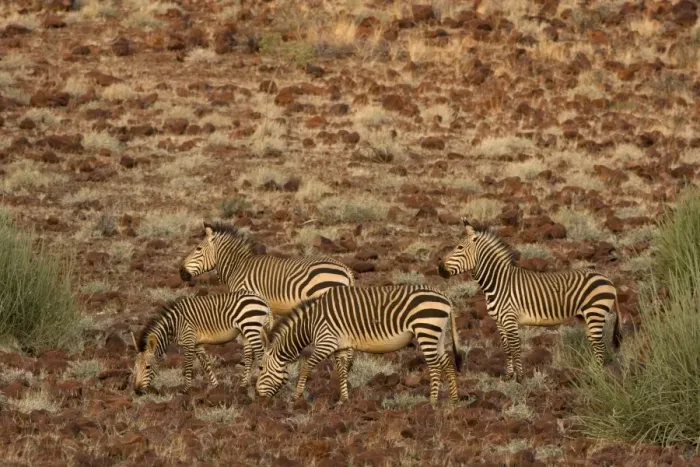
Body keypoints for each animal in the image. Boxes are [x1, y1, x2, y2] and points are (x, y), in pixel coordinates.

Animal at [131, 290, 272, 395]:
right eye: (135, 367)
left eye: (148, 367)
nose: (137, 391)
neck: (174, 324)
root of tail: (262, 300)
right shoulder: (196, 343)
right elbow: (205, 363)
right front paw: (215, 386)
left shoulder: (188, 340)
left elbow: (188, 364)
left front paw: (186, 389)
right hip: (246, 332)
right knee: (249, 357)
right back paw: (243, 386)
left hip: (251, 327)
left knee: (260, 353)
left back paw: (258, 384)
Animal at [256, 285, 463, 405]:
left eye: (261, 368)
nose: (258, 397)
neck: (311, 323)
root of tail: (445, 297)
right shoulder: (341, 346)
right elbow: (342, 370)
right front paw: (343, 400)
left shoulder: (326, 342)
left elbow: (306, 366)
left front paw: (297, 397)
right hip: (437, 334)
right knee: (447, 363)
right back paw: (453, 399)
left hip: (426, 330)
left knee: (435, 366)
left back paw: (432, 402)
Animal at [437, 218, 622, 382]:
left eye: (460, 248)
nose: (439, 269)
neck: (499, 283)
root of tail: (608, 280)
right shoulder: (499, 321)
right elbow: (507, 349)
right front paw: (508, 376)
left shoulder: (510, 319)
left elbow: (515, 348)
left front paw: (520, 378)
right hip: (585, 316)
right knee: (595, 343)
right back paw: (592, 370)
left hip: (595, 313)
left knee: (600, 346)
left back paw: (597, 374)